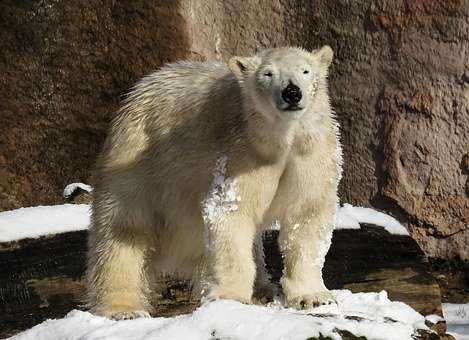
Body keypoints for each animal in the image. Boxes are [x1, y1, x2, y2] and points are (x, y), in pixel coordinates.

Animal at [85, 46, 340, 320]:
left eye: (305, 71)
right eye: (267, 73)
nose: (292, 92)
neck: (282, 138)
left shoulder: (311, 155)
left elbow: (306, 216)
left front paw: (313, 297)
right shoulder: (241, 152)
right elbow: (230, 212)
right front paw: (230, 298)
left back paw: (261, 289)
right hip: (138, 155)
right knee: (124, 229)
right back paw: (123, 309)